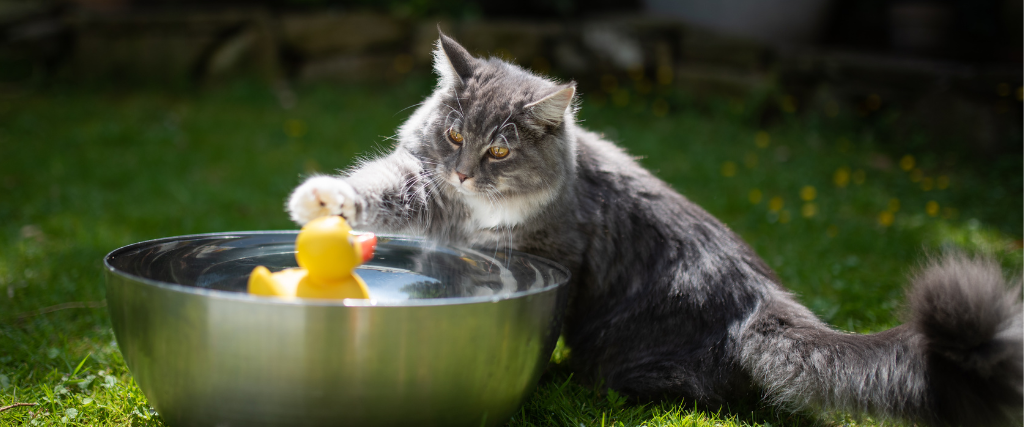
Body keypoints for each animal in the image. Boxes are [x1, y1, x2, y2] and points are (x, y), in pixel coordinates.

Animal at [286, 34, 1024, 425]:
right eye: (457, 135)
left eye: (499, 150)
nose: (466, 174)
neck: (474, 210)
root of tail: (769, 306)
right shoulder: (427, 188)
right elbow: (380, 189)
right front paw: (319, 201)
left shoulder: (555, 251)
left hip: (635, 357)